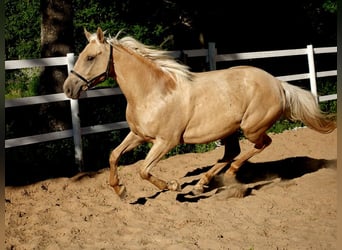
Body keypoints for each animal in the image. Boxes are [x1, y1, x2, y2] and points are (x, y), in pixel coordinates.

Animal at [62, 26, 336, 195]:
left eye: (90, 57)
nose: (68, 88)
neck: (154, 92)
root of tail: (278, 84)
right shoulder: (138, 134)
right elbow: (114, 155)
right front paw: (120, 189)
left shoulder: (166, 142)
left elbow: (143, 170)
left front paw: (172, 186)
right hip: (230, 130)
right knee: (231, 153)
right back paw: (202, 183)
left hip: (251, 128)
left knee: (260, 145)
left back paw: (229, 175)